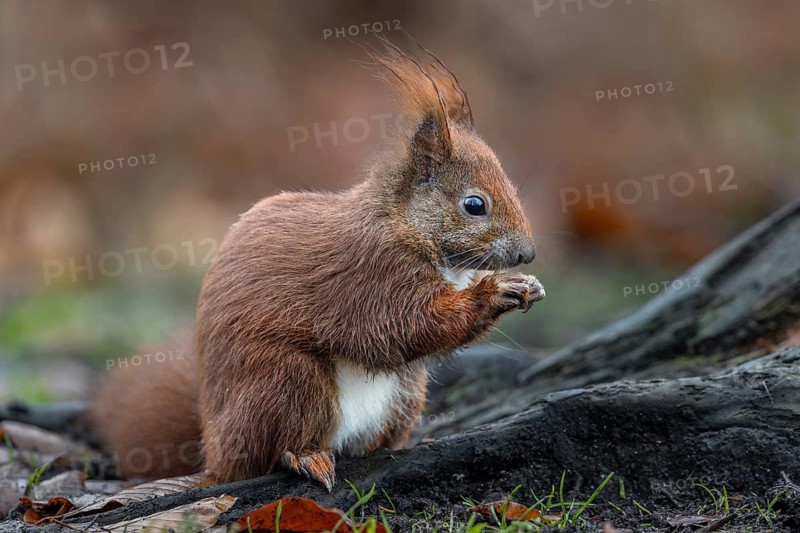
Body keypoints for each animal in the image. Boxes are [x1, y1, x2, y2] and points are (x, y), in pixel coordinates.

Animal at [91, 40, 545, 491]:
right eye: (474, 205)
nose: (527, 253)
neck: (405, 225)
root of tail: (216, 454)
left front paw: (527, 285)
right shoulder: (373, 274)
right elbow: (405, 324)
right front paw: (497, 291)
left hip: (406, 389)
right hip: (287, 378)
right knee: (275, 449)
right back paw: (307, 457)